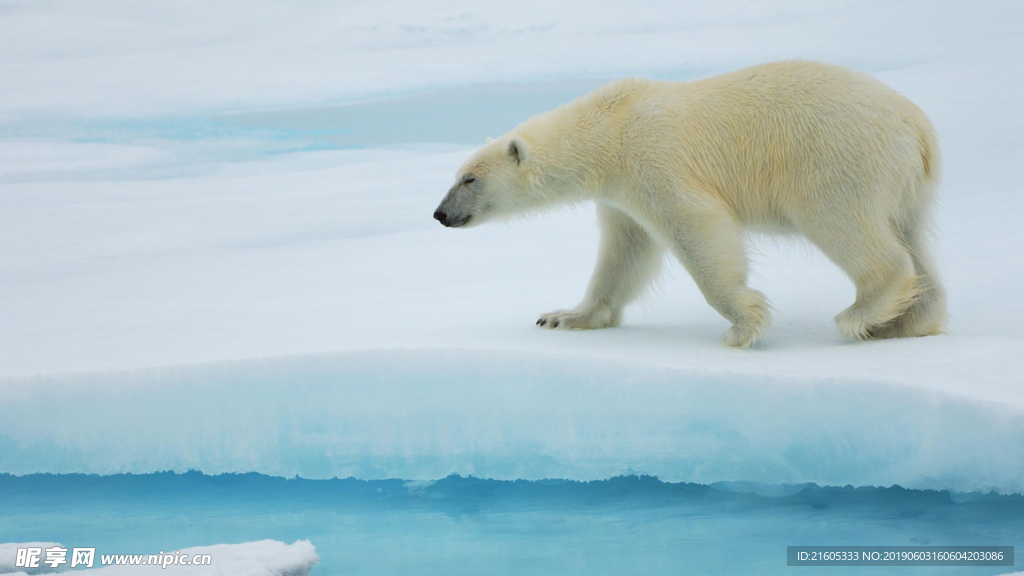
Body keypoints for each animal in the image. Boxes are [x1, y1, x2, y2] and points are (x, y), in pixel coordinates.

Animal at [432, 59, 942, 344]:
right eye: (456, 176)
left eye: (470, 178)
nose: (439, 214)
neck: (609, 129)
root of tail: (917, 125)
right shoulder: (619, 195)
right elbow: (624, 252)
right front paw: (563, 317)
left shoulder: (653, 160)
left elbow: (696, 226)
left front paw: (744, 324)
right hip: (905, 184)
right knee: (913, 238)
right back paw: (907, 321)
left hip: (836, 160)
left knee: (847, 227)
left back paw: (862, 314)